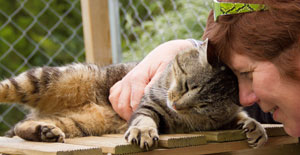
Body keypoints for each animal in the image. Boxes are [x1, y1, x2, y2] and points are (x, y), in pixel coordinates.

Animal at [0, 39, 268, 150]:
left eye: (201, 107)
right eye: (187, 85)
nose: (177, 105)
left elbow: (243, 116)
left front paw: (254, 127)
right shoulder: (148, 104)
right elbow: (143, 120)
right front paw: (143, 132)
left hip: (76, 122)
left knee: (24, 124)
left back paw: (44, 131)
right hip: (47, 79)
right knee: (9, 88)